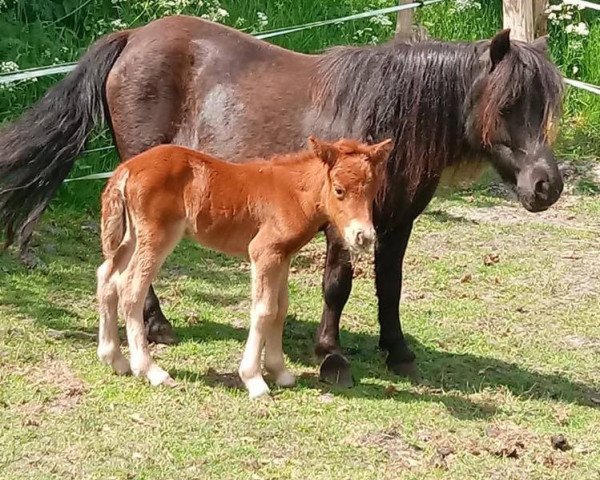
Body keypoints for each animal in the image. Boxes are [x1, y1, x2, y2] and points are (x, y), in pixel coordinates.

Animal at [96, 136, 392, 398]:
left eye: (373, 191)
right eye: (339, 190)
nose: (364, 237)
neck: (295, 193)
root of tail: (126, 169)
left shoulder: (283, 256)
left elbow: (281, 308)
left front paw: (280, 372)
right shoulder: (263, 252)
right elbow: (264, 310)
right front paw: (254, 380)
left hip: (133, 236)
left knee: (107, 277)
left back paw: (114, 359)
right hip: (157, 236)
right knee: (131, 289)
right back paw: (151, 371)